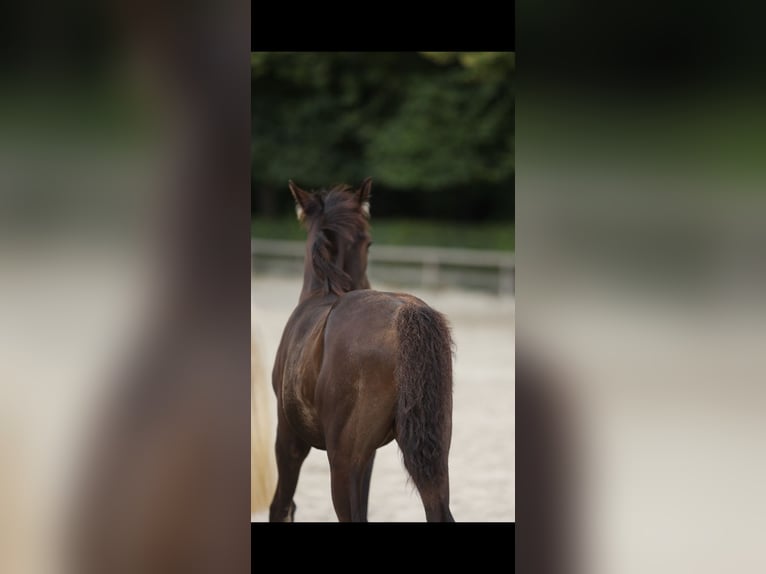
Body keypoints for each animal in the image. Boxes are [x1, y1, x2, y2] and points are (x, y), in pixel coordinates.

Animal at [269, 178, 455, 522]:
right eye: (368, 243)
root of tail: (406, 314)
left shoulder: (289, 438)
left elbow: (282, 506)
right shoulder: (369, 457)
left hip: (343, 463)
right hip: (435, 458)